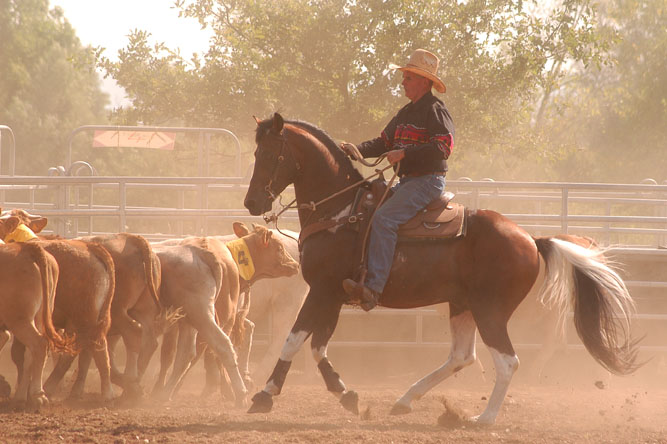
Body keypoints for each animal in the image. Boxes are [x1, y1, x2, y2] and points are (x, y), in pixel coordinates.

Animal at [243, 112, 640, 424]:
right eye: (255, 152)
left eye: (270, 154)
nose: (252, 202)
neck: (340, 211)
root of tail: (531, 239)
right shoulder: (334, 296)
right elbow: (317, 346)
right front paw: (347, 396)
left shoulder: (322, 291)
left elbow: (295, 340)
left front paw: (264, 395)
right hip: (462, 305)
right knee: (462, 356)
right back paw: (406, 400)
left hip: (489, 310)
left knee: (507, 361)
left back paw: (483, 418)